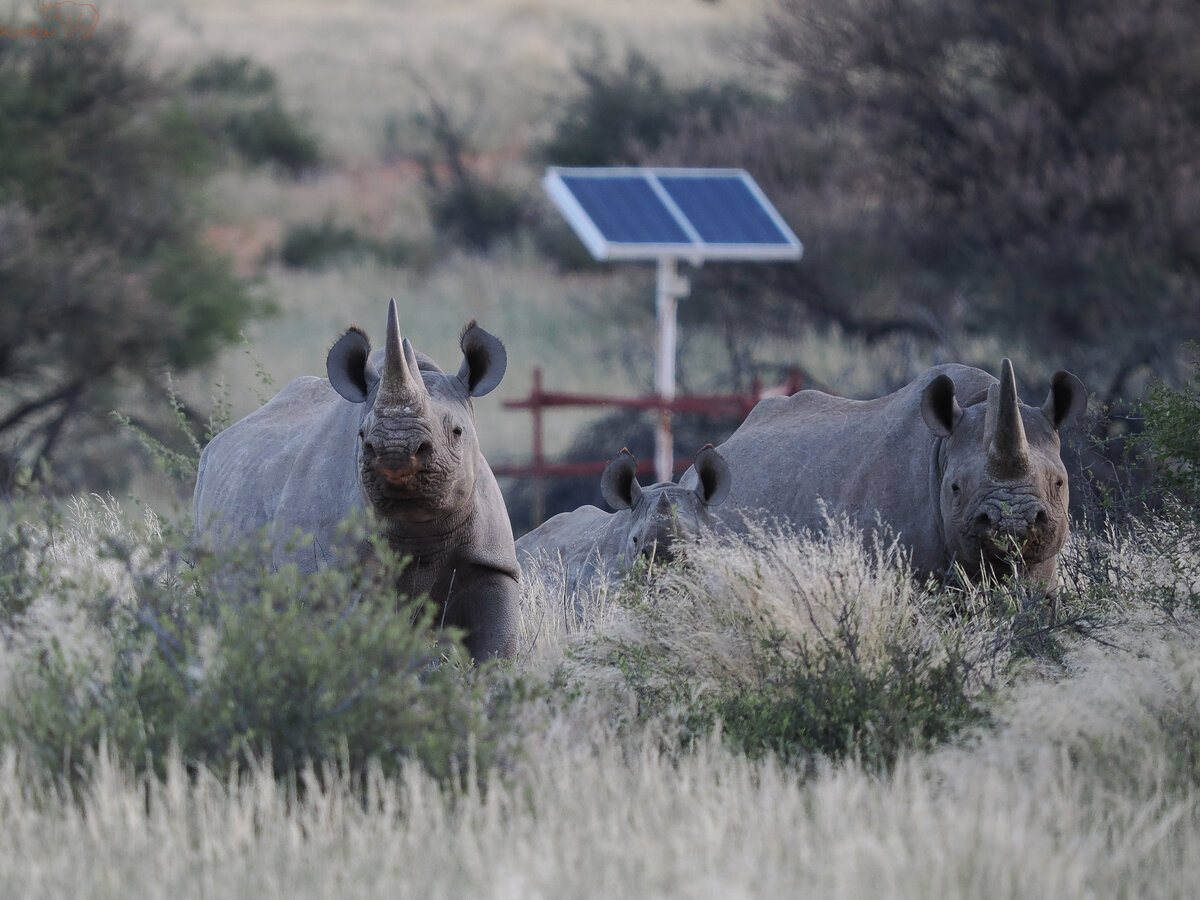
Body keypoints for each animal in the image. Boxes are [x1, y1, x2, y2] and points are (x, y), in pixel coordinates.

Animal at [193, 298, 520, 660]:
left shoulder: (492, 560)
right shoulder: (321, 574)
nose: (396, 453)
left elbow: (497, 648)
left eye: (457, 432)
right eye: (362, 436)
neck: (418, 529)